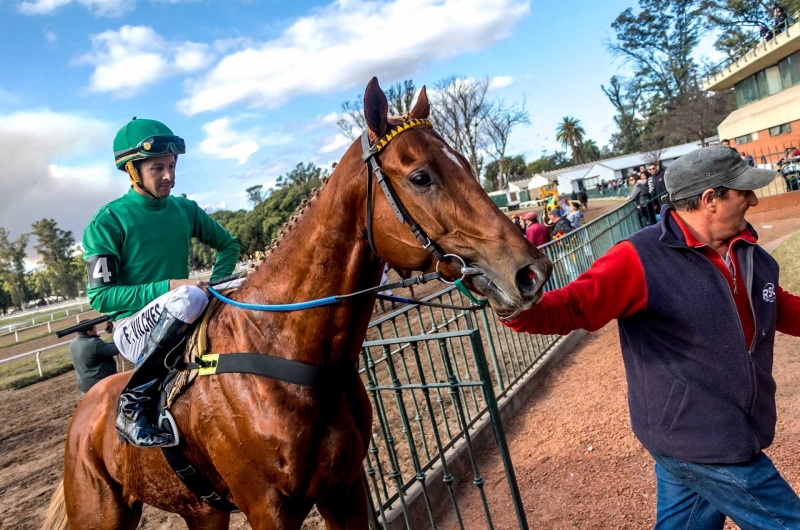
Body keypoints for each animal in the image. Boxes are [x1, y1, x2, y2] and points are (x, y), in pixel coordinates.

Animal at [42, 78, 552, 528]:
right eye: (421, 176)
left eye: (464, 160)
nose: (530, 272)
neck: (286, 354)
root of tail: (85, 412)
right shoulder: (268, 507)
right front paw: (190, 281)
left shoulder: (345, 490)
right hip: (99, 513)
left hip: (202, 511)